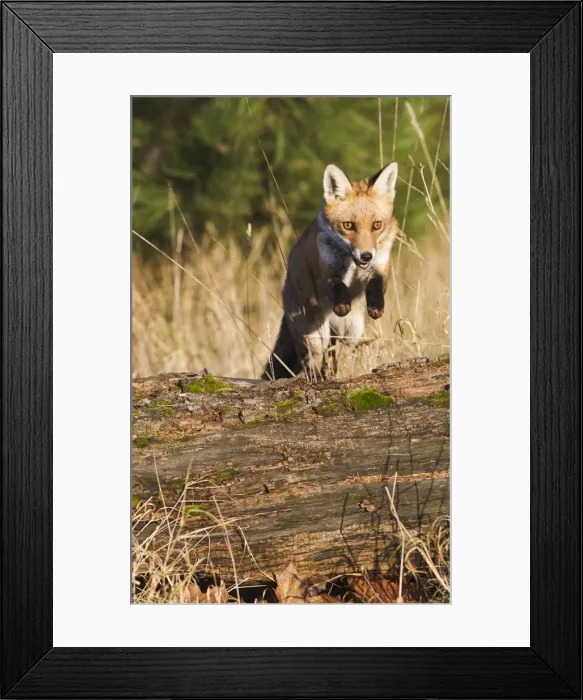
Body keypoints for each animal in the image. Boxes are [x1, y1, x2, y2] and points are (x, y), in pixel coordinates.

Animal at [263, 161, 399, 380]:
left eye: (377, 225)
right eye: (348, 225)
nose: (366, 256)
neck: (351, 264)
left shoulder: (381, 265)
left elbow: (376, 283)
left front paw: (376, 305)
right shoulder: (325, 268)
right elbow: (335, 283)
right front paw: (342, 302)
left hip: (351, 332)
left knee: (334, 354)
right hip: (315, 335)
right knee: (308, 356)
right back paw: (314, 376)